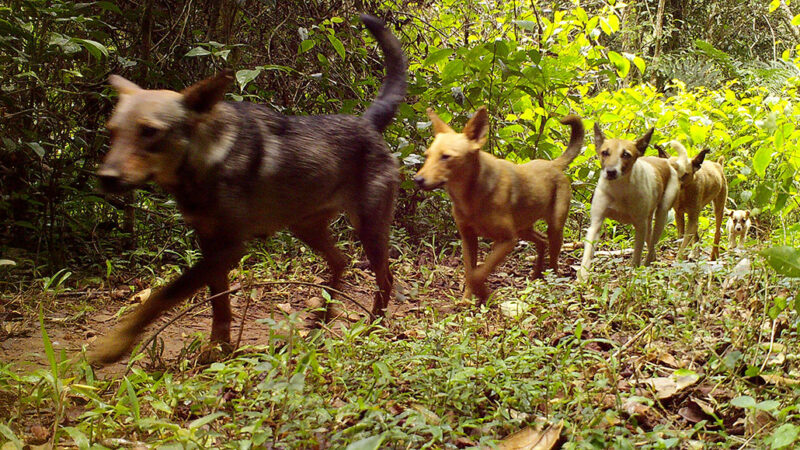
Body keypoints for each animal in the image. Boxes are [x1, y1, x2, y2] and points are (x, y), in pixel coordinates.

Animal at [89, 14, 406, 366]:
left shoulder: (229, 247)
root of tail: (367, 123)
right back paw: (320, 322)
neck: (207, 160)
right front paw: (218, 348)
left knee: (385, 277)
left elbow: (162, 296)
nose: (106, 177)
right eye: (113, 131)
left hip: (369, 229)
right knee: (341, 261)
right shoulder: (209, 241)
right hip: (305, 226)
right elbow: (219, 303)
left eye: (149, 132)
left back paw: (373, 326)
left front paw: (114, 344)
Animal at [416, 107, 584, 304]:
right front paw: (467, 299)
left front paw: (485, 294)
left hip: (554, 227)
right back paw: (536, 274)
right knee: (542, 241)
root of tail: (553, 164)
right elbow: (470, 272)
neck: (470, 198)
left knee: (553, 256)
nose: (417, 179)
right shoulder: (468, 238)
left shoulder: (507, 240)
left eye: (446, 157)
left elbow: (477, 275)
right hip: (523, 229)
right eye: (427, 156)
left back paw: (552, 280)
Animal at [580, 125, 684, 282]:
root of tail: (667, 162)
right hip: (649, 219)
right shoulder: (596, 222)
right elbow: (588, 252)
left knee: (653, 243)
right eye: (605, 152)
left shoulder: (640, 225)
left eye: (626, 154)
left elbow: (636, 255)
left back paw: (647, 265)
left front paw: (634, 276)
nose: (610, 172)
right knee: (650, 241)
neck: (619, 189)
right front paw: (582, 278)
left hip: (662, 214)